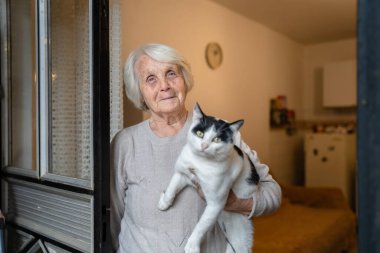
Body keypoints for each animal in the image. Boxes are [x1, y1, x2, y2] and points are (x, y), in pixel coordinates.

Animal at [157, 103, 258, 253]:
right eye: (200, 133)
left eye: (216, 139)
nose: (204, 145)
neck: (200, 162)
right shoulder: (184, 174)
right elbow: (172, 187)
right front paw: (164, 202)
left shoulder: (216, 204)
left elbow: (202, 225)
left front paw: (192, 245)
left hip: (240, 233)